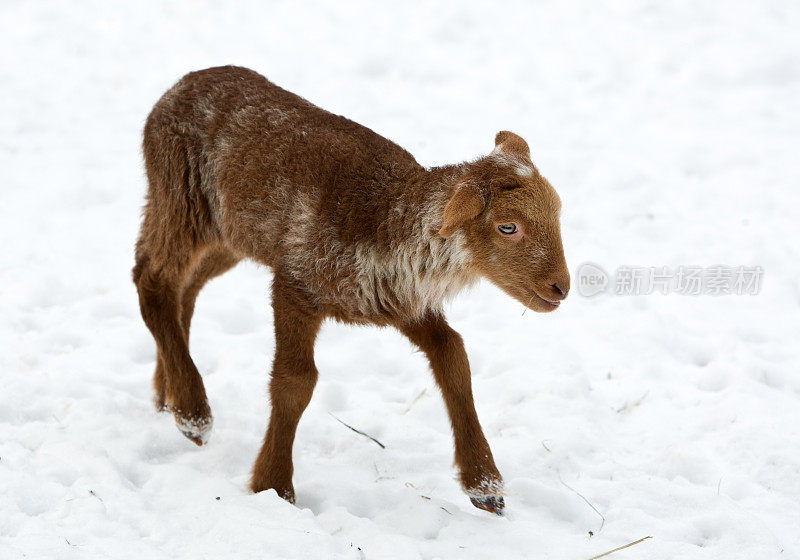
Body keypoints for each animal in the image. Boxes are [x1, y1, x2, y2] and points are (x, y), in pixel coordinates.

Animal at [133, 63, 568, 516]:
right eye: (508, 227)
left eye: (558, 212)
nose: (561, 287)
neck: (387, 221)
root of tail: (180, 84)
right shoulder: (296, 284)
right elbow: (295, 382)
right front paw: (274, 487)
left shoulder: (400, 302)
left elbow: (454, 357)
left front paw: (486, 486)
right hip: (180, 198)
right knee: (152, 279)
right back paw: (193, 414)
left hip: (227, 236)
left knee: (186, 287)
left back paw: (167, 394)